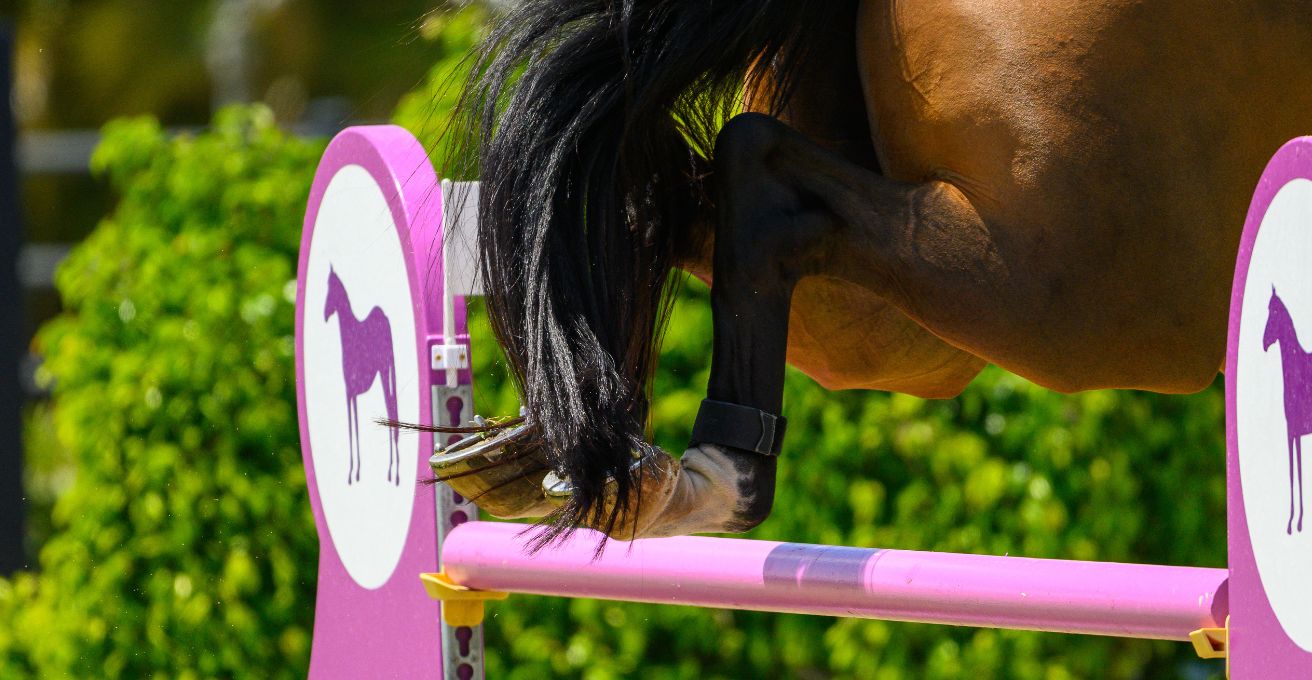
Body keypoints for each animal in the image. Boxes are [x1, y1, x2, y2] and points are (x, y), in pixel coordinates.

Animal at [324, 267, 400, 486]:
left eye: (330, 289)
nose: (324, 315)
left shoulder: (349, 391)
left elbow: (352, 427)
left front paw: (353, 472)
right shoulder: (353, 393)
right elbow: (354, 425)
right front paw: (355, 471)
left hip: (384, 371)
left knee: (391, 410)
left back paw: (393, 471)